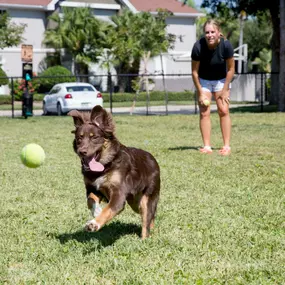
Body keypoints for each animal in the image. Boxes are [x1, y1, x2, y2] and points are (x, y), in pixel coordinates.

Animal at [67, 104, 160, 237]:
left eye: (94, 137)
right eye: (79, 138)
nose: (82, 152)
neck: (105, 166)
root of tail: (152, 158)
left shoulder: (118, 193)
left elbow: (108, 209)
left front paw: (94, 223)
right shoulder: (92, 187)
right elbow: (90, 200)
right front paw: (96, 211)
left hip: (146, 198)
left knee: (146, 219)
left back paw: (145, 238)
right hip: (135, 202)